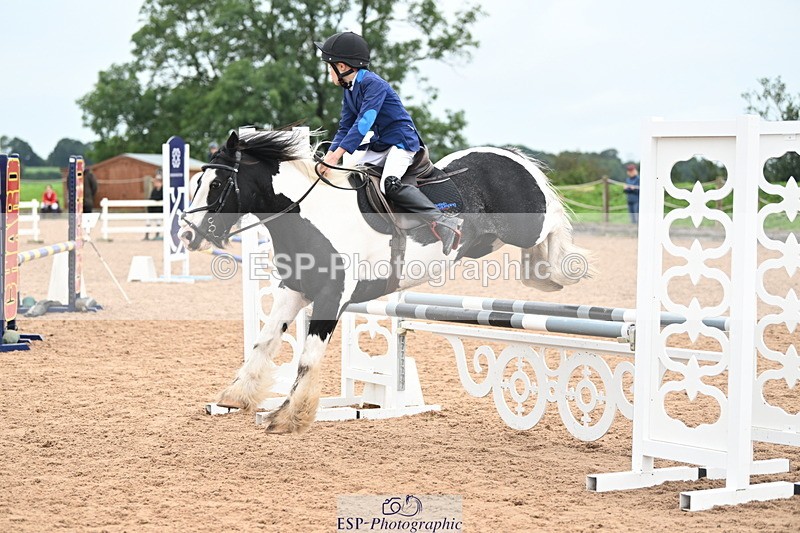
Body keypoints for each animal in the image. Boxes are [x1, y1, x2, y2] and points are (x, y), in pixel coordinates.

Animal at [179, 127, 592, 434]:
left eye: (216, 184)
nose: (187, 235)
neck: (310, 216)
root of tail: (511, 156)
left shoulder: (332, 296)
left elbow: (308, 356)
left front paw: (290, 416)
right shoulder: (292, 290)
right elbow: (264, 342)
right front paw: (237, 396)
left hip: (528, 226)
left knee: (553, 222)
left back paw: (560, 269)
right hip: (484, 244)